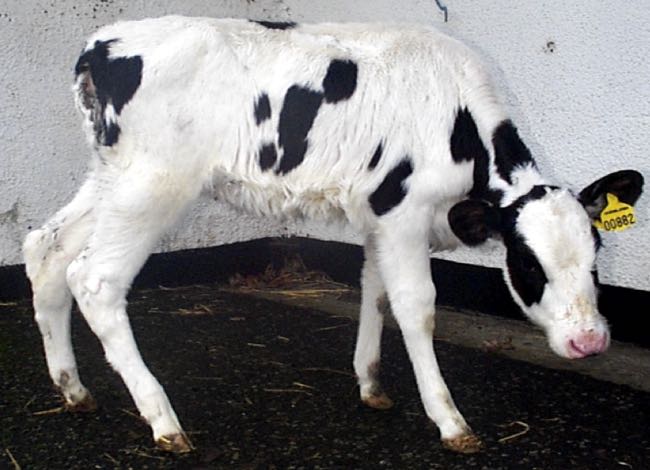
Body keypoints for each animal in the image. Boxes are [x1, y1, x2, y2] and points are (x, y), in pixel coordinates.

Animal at [23, 16, 644, 454]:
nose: (589, 343)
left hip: (112, 178)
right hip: (153, 185)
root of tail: (103, 43)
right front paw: (449, 420)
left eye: (595, 260)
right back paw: (162, 419)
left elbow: (375, 290)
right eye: (527, 263)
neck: (459, 121)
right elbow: (418, 307)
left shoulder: (379, 217)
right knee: (95, 279)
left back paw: (73, 389)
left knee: (46, 250)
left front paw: (370, 383)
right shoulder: (403, 211)